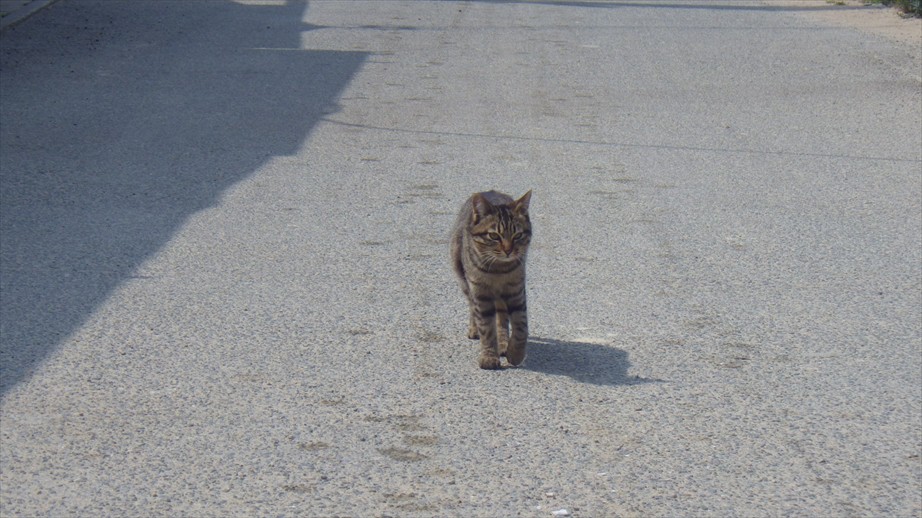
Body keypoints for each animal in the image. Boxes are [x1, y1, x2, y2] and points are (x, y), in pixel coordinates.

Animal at [448, 191, 528, 370]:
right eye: (494, 236)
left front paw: (516, 353)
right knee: (472, 307)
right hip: (464, 279)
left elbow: (521, 327)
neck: (499, 270)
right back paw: (474, 329)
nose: (508, 250)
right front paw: (489, 356)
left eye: (518, 235)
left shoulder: (517, 291)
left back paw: (504, 343)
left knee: (502, 317)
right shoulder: (480, 294)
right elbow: (486, 328)